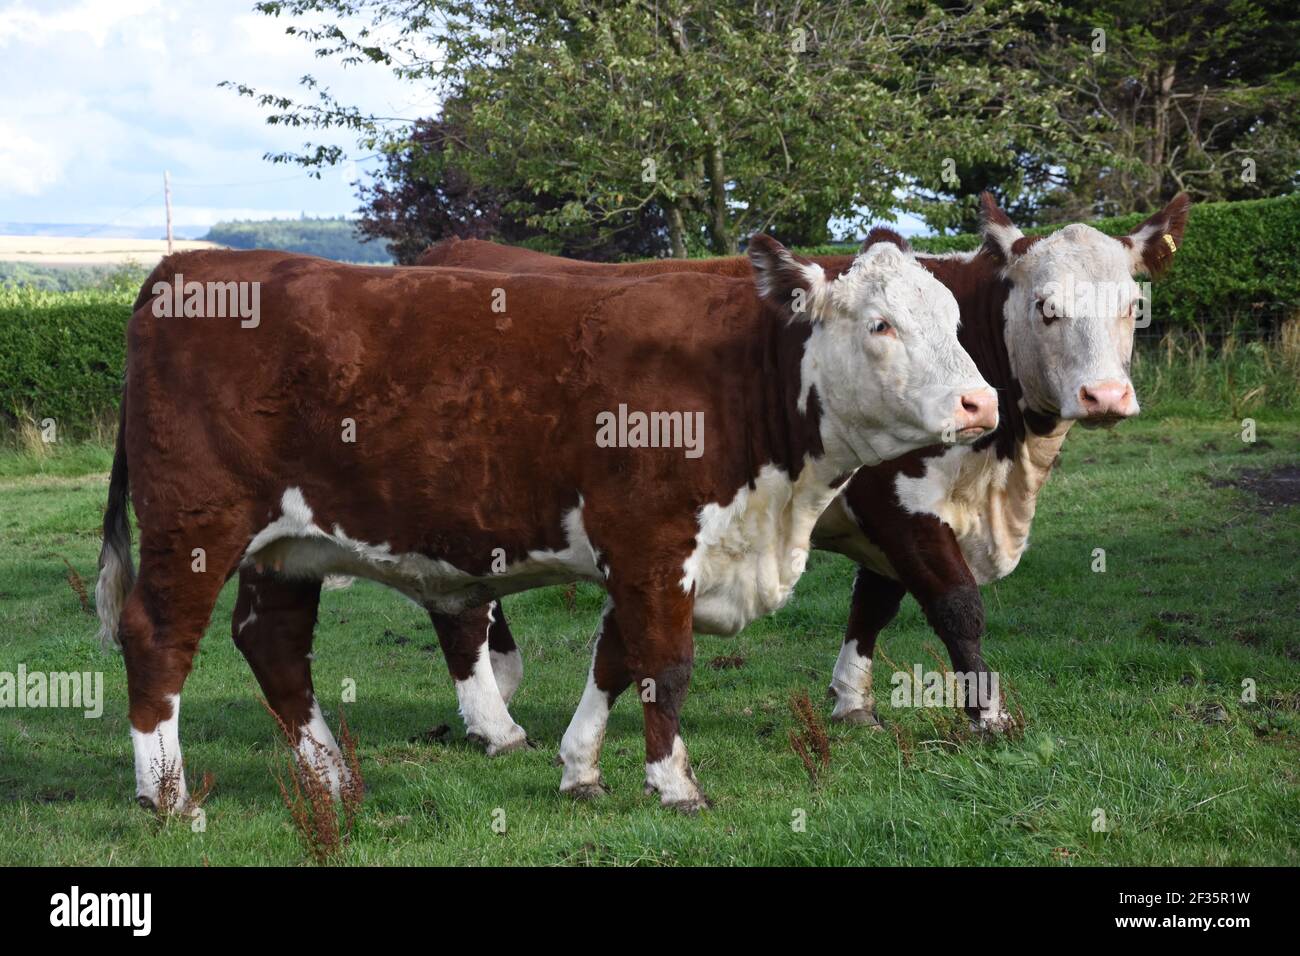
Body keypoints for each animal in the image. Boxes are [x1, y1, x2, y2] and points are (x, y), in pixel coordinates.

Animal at [96, 234, 997, 812]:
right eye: (881, 324)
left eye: (957, 324)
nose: (980, 402)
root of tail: (185, 266)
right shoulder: (651, 541)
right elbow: (665, 666)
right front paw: (675, 785)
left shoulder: (644, 556)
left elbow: (614, 660)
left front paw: (582, 770)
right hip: (196, 525)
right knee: (158, 639)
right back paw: (166, 796)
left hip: (285, 548)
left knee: (273, 645)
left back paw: (333, 781)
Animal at [416, 191, 1189, 737]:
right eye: (1045, 307)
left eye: (1133, 306)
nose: (1105, 395)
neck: (1001, 474)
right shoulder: (899, 502)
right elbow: (957, 605)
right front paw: (989, 717)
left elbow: (873, 605)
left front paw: (851, 703)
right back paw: (492, 711)